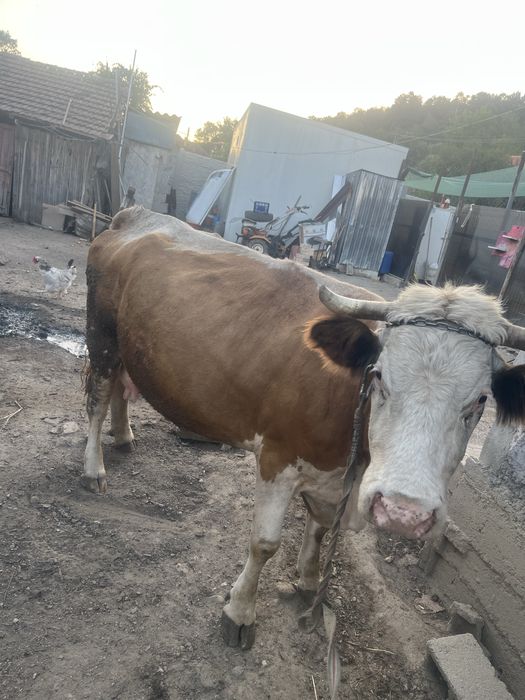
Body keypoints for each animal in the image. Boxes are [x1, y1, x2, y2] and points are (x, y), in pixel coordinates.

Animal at [83, 206, 525, 649]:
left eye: (481, 399)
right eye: (379, 376)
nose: (404, 511)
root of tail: (137, 215)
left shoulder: (331, 478)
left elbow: (319, 531)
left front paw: (310, 583)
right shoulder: (277, 458)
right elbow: (265, 544)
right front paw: (240, 611)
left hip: (129, 345)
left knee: (121, 388)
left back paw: (124, 436)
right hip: (101, 336)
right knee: (97, 402)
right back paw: (94, 469)